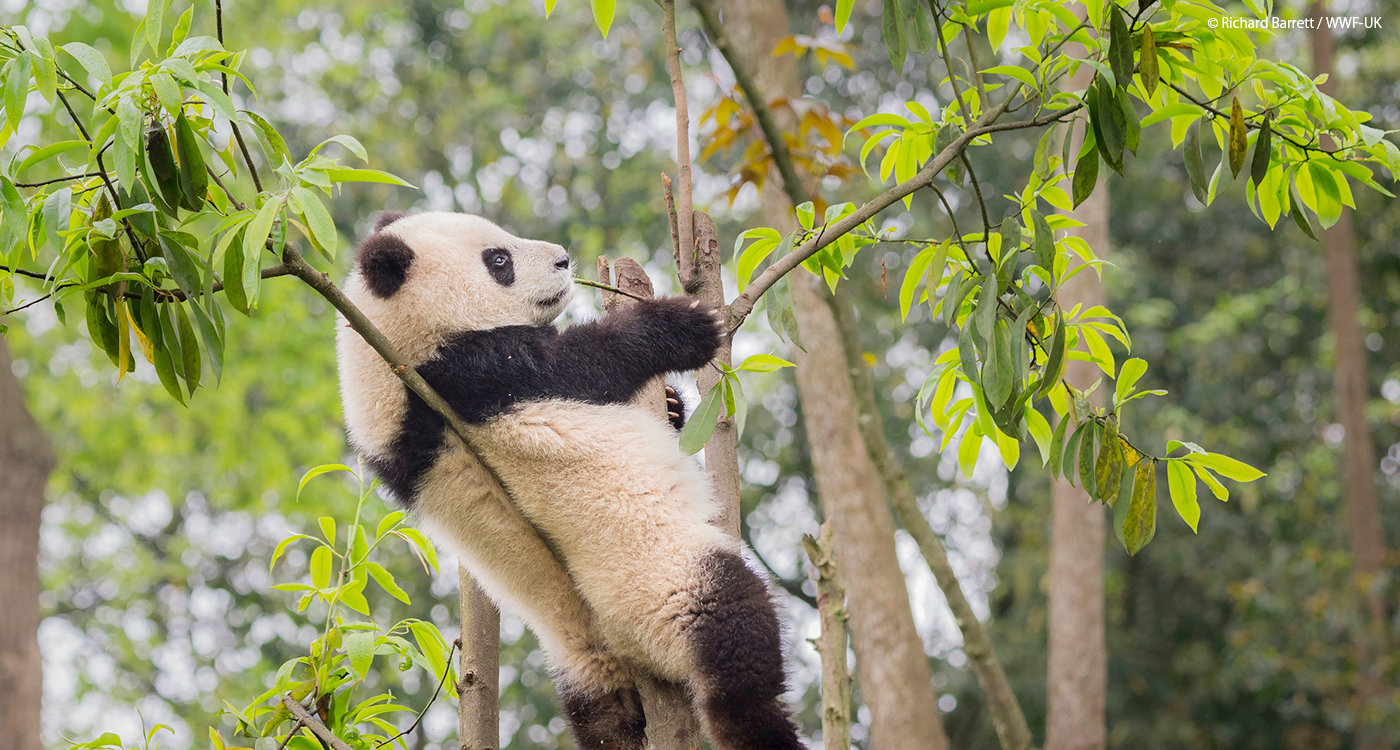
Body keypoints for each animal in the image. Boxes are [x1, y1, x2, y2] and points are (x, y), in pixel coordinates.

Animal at [333, 211, 806, 750]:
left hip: (582, 656)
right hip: (664, 582)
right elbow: (583, 364)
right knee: (736, 644)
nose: (562, 259)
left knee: (602, 717)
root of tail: (625, 645)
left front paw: (671, 405)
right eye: (499, 261)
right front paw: (683, 323)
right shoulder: (470, 373)